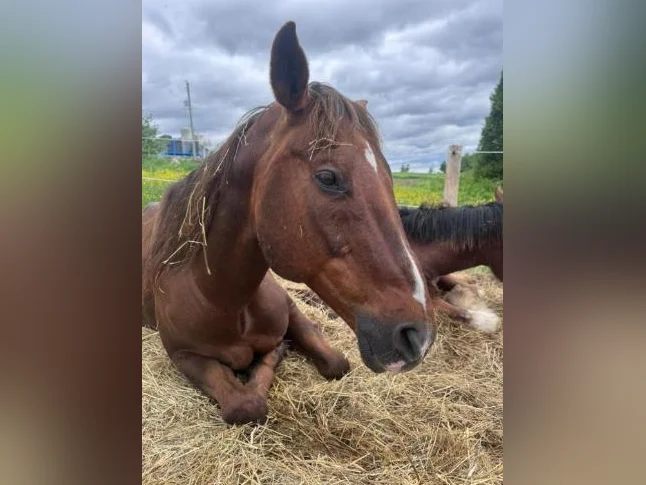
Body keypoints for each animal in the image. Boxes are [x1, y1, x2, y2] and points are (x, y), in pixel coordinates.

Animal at [142, 22, 436, 425]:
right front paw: (271, 358)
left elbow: (335, 361)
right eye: (328, 177)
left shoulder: (294, 311)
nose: (418, 337)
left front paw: (277, 352)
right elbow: (246, 405)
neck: (223, 298)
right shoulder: (183, 355)